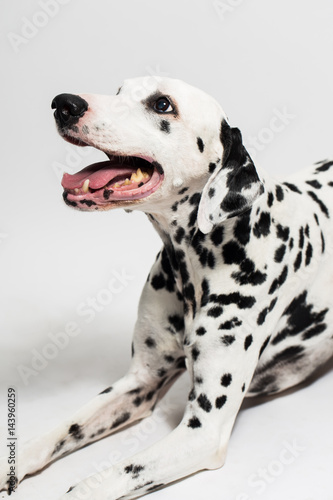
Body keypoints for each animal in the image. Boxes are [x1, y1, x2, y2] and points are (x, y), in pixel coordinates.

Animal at [0, 76, 332, 498]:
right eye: (119, 90)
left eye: (162, 104)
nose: (65, 103)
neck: (196, 264)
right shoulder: (137, 384)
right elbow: (55, 432)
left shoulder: (202, 431)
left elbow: (107, 478)